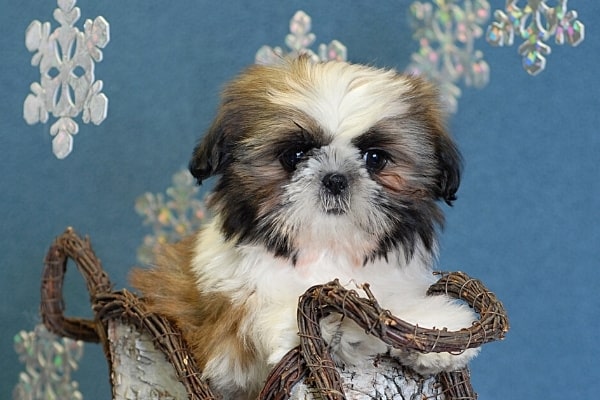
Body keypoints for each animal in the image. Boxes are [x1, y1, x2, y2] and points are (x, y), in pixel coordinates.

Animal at [130, 57, 478, 400]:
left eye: (376, 158)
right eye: (294, 155)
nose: (335, 178)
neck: (325, 248)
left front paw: (434, 328)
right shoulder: (226, 332)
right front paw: (340, 322)